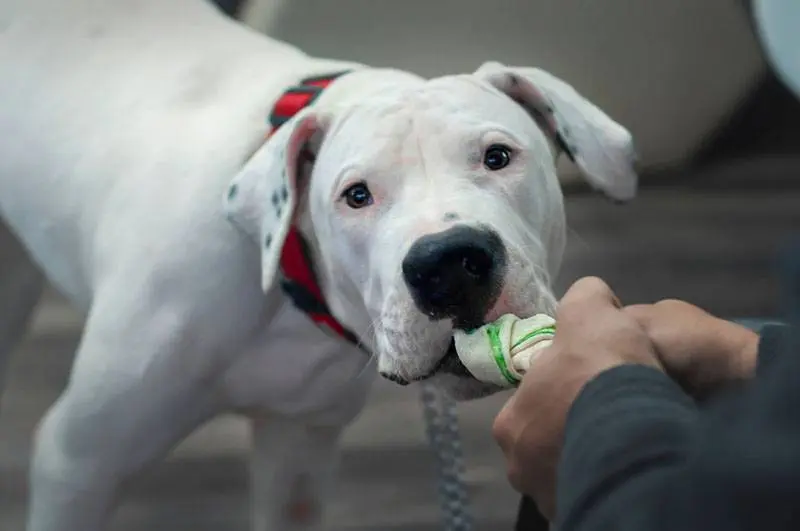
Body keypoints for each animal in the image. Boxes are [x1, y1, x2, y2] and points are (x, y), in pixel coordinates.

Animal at [0, 1, 636, 531]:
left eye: (498, 157)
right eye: (356, 195)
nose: (449, 263)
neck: (283, 274)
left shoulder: (298, 448)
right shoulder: (81, 464)